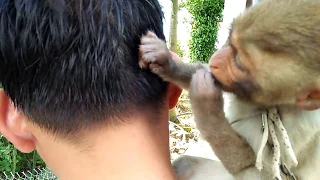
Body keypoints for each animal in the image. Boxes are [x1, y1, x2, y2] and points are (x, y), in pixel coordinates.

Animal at [139, 0, 320, 179]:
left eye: (239, 61)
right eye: (230, 41)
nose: (214, 60)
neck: (272, 105)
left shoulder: (303, 126)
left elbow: (260, 173)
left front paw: (208, 108)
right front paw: (166, 61)